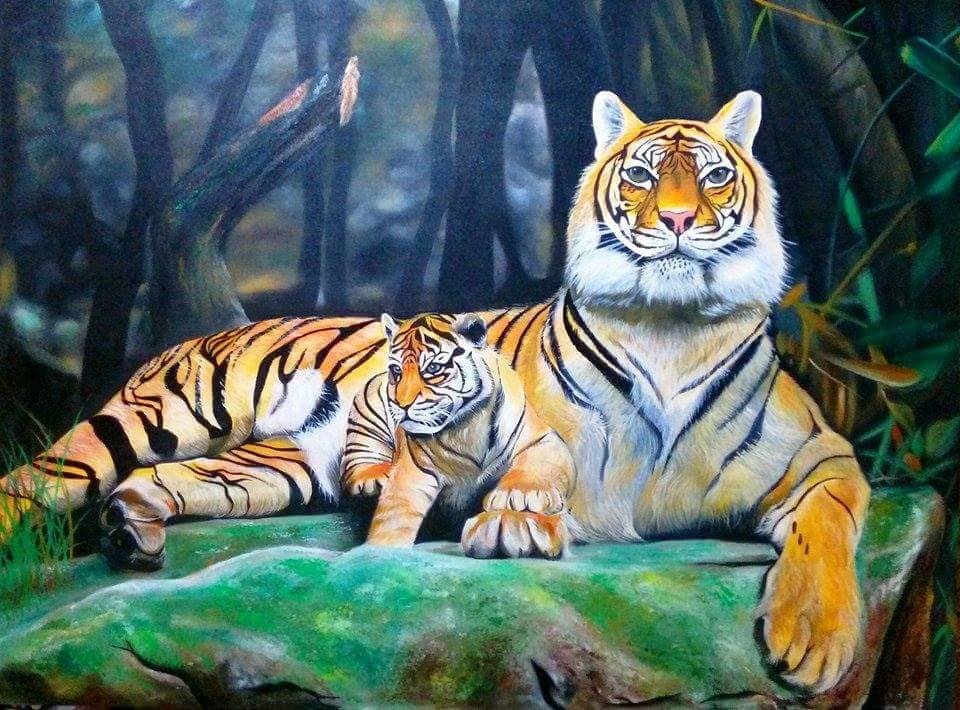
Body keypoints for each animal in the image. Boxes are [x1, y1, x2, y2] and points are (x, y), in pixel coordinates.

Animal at [341, 312, 574, 557]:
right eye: (397, 371)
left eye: (433, 368)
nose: (402, 404)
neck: (467, 425)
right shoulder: (414, 468)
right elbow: (395, 514)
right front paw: (380, 549)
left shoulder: (542, 439)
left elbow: (541, 464)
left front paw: (519, 495)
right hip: (367, 408)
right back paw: (374, 476)